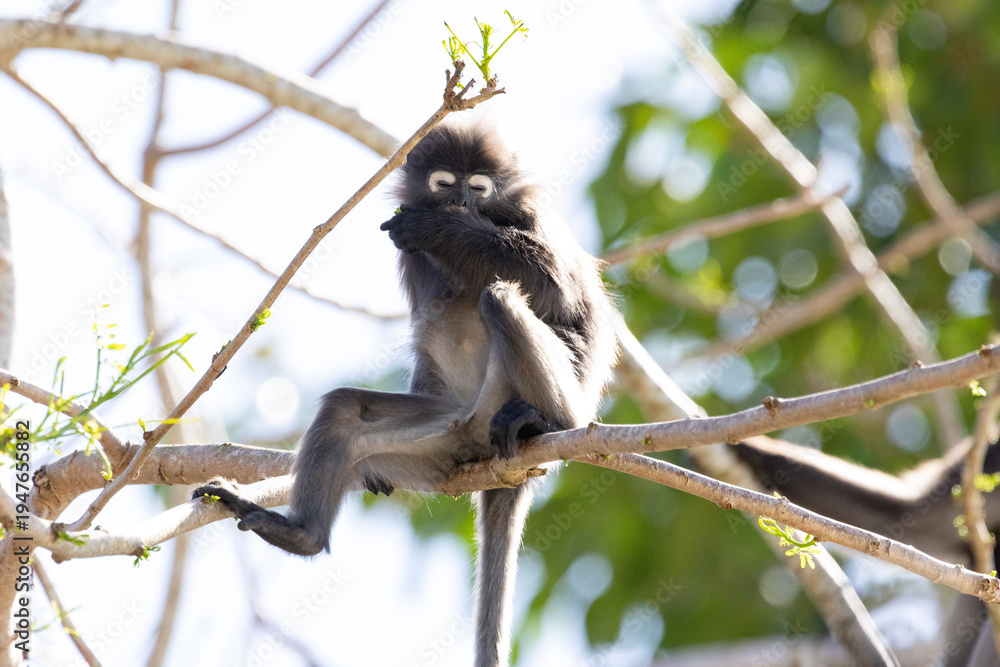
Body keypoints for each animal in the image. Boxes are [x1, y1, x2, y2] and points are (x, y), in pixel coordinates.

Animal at [193, 122, 618, 667]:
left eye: (477, 189)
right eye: (444, 184)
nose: (458, 204)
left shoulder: (531, 216)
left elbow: (561, 300)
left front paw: (443, 231)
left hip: (519, 402)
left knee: (501, 296)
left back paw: (549, 422)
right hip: (444, 440)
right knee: (345, 411)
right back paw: (300, 534)